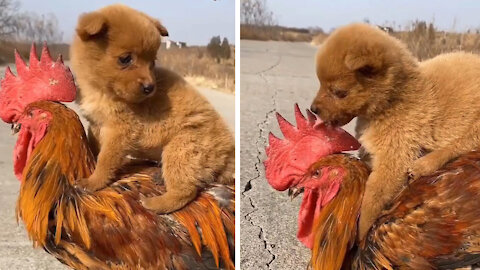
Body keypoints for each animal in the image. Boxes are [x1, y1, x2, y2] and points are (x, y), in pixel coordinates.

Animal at [71, 4, 234, 213]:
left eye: (152, 62)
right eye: (125, 59)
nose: (150, 87)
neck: (103, 92)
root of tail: (228, 152)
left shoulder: (119, 131)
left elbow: (105, 160)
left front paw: (93, 182)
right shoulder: (96, 125)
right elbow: (94, 148)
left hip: (181, 149)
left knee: (185, 191)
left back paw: (154, 204)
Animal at [312, 22, 480, 238]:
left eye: (339, 92)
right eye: (320, 83)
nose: (313, 109)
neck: (393, 100)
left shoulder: (395, 156)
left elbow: (371, 202)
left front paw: (361, 235)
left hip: (476, 125)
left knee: (462, 143)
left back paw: (424, 165)